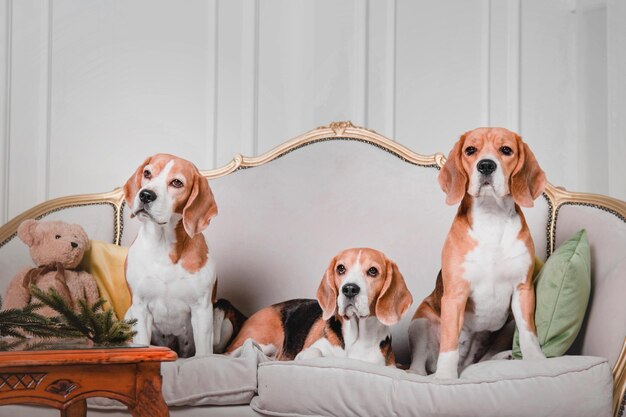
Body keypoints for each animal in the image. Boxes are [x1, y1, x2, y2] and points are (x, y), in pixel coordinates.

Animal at [123, 154, 245, 356]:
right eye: (147, 173)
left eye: (177, 183)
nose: (145, 195)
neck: (163, 245)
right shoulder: (140, 307)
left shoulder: (201, 311)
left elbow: (203, 354)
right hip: (129, 314)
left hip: (223, 321)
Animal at [223, 249, 410, 366]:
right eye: (341, 268)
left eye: (373, 271)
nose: (349, 289)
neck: (355, 337)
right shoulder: (312, 350)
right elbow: (315, 353)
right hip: (260, 341)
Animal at [408, 127, 544, 376]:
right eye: (470, 150)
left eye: (506, 150)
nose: (486, 165)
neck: (492, 217)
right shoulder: (455, 295)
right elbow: (449, 342)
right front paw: (445, 376)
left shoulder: (523, 289)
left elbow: (528, 332)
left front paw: (537, 360)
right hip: (421, 321)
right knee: (420, 361)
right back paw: (421, 373)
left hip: (506, 325)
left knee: (479, 361)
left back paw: (502, 357)